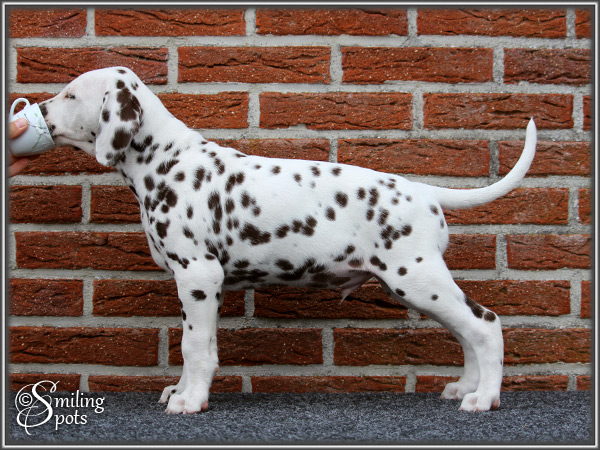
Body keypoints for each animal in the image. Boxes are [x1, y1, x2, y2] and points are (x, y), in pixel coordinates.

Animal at [39, 66, 537, 413]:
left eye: (70, 94)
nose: (38, 111)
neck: (166, 161)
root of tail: (424, 190)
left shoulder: (198, 276)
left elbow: (193, 347)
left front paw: (191, 400)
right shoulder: (202, 287)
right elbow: (198, 345)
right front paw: (183, 390)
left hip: (417, 279)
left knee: (485, 325)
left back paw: (484, 398)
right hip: (419, 287)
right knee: (467, 331)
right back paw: (466, 387)